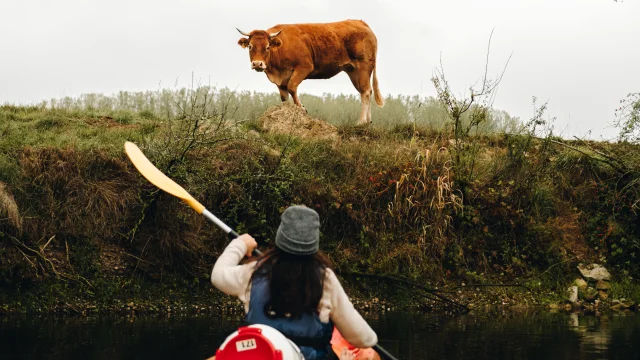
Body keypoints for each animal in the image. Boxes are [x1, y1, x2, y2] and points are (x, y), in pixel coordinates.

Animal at [236, 20, 382, 126]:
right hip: (353, 71)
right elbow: (284, 97)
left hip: (363, 67)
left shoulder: (304, 67)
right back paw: (368, 121)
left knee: (366, 92)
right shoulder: (280, 79)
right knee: (366, 91)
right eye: (250, 46)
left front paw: (302, 109)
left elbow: (292, 87)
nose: (257, 64)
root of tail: (360, 22)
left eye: (267, 47)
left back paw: (361, 122)